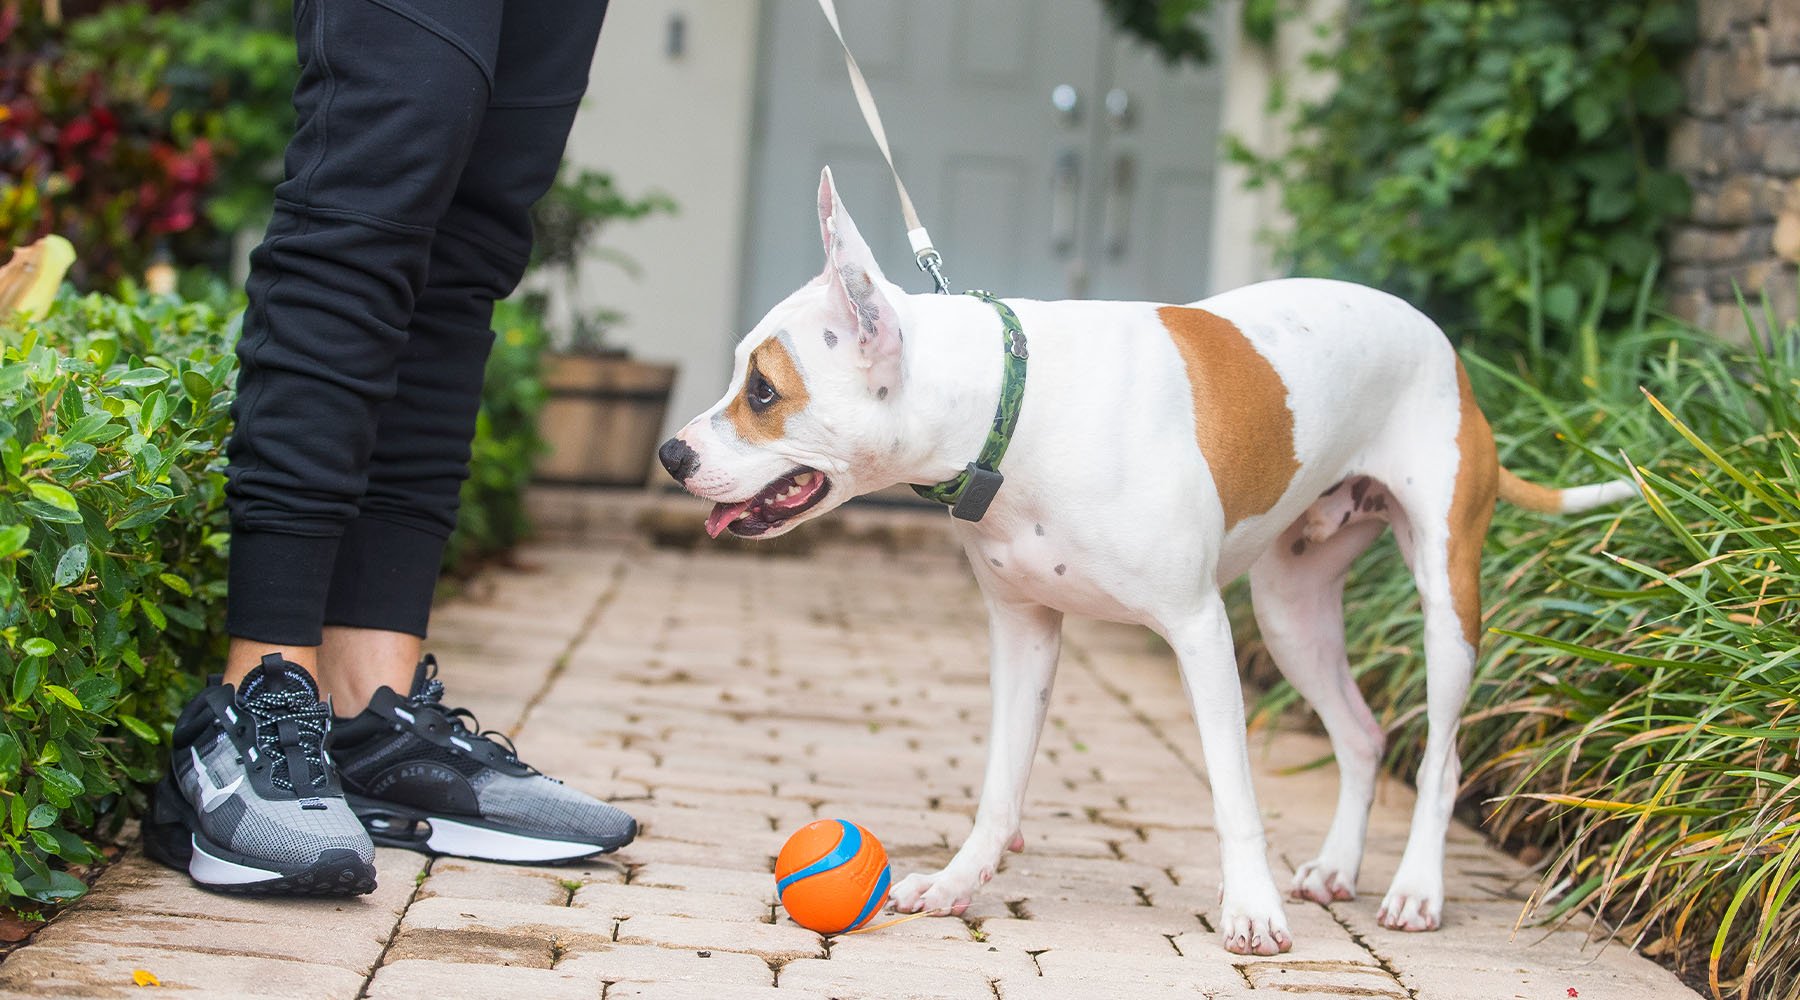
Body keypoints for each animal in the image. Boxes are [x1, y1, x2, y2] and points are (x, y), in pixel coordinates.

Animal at [658, 169, 1634, 949]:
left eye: (763, 392)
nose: (671, 453)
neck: (1014, 405)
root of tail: (1448, 350)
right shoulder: (1025, 631)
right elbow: (1000, 784)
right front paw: (961, 881)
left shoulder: (1199, 631)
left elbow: (1234, 794)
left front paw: (1251, 911)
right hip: (1291, 613)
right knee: (1362, 735)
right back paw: (1334, 869)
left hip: (1445, 603)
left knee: (1440, 761)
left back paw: (1416, 890)